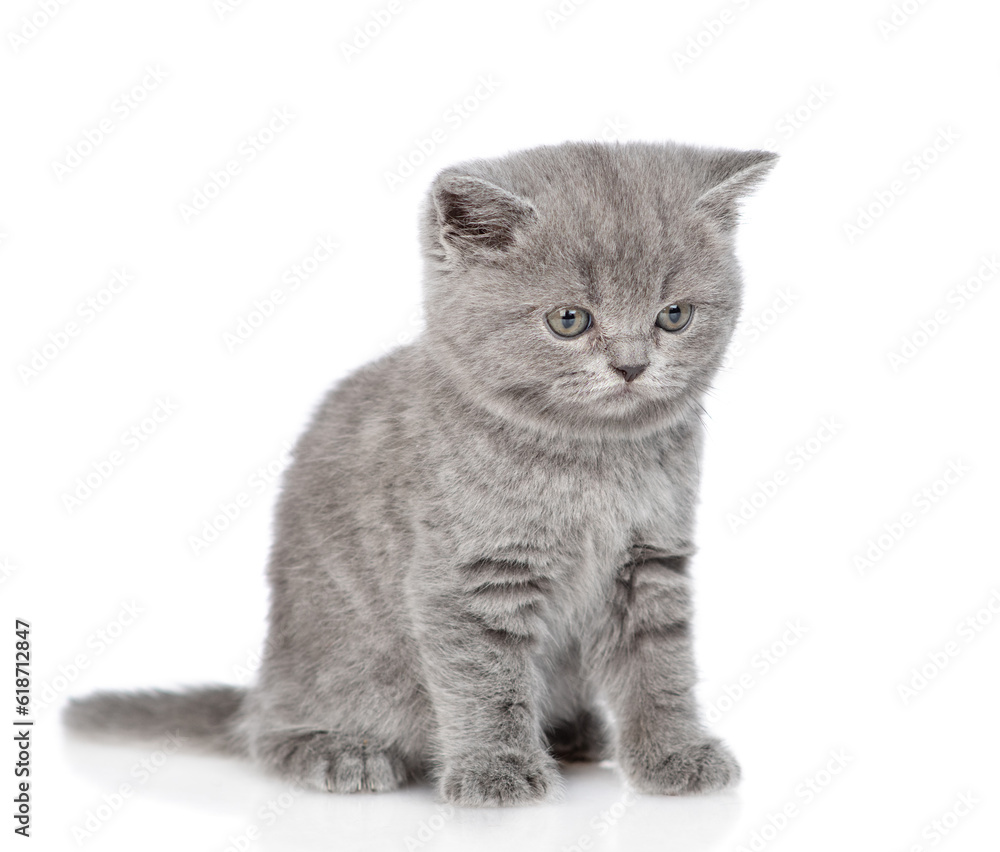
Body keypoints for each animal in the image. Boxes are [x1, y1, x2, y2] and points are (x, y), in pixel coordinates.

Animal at [66, 140, 776, 804]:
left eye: (674, 316)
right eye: (569, 320)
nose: (631, 366)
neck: (592, 457)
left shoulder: (650, 562)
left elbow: (660, 667)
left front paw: (675, 755)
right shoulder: (467, 576)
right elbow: (486, 680)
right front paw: (497, 771)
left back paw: (575, 734)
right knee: (267, 733)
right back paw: (340, 752)